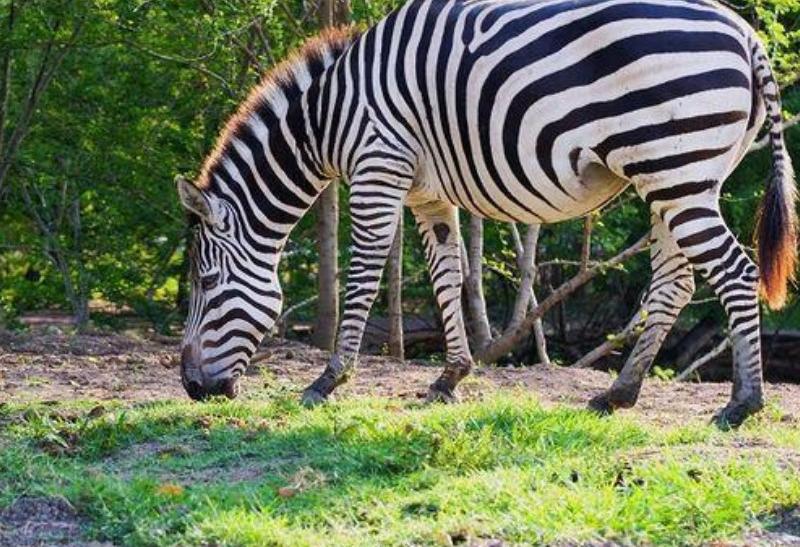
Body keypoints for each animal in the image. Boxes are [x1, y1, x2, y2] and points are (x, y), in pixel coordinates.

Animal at [178, 0, 796, 428]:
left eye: (205, 283)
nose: (190, 388)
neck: (328, 116)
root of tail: (745, 33)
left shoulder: (378, 170)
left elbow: (363, 279)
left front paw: (327, 382)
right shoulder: (428, 194)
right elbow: (447, 277)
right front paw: (450, 377)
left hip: (674, 169)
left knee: (735, 271)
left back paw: (742, 403)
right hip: (676, 177)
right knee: (676, 281)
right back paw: (618, 394)